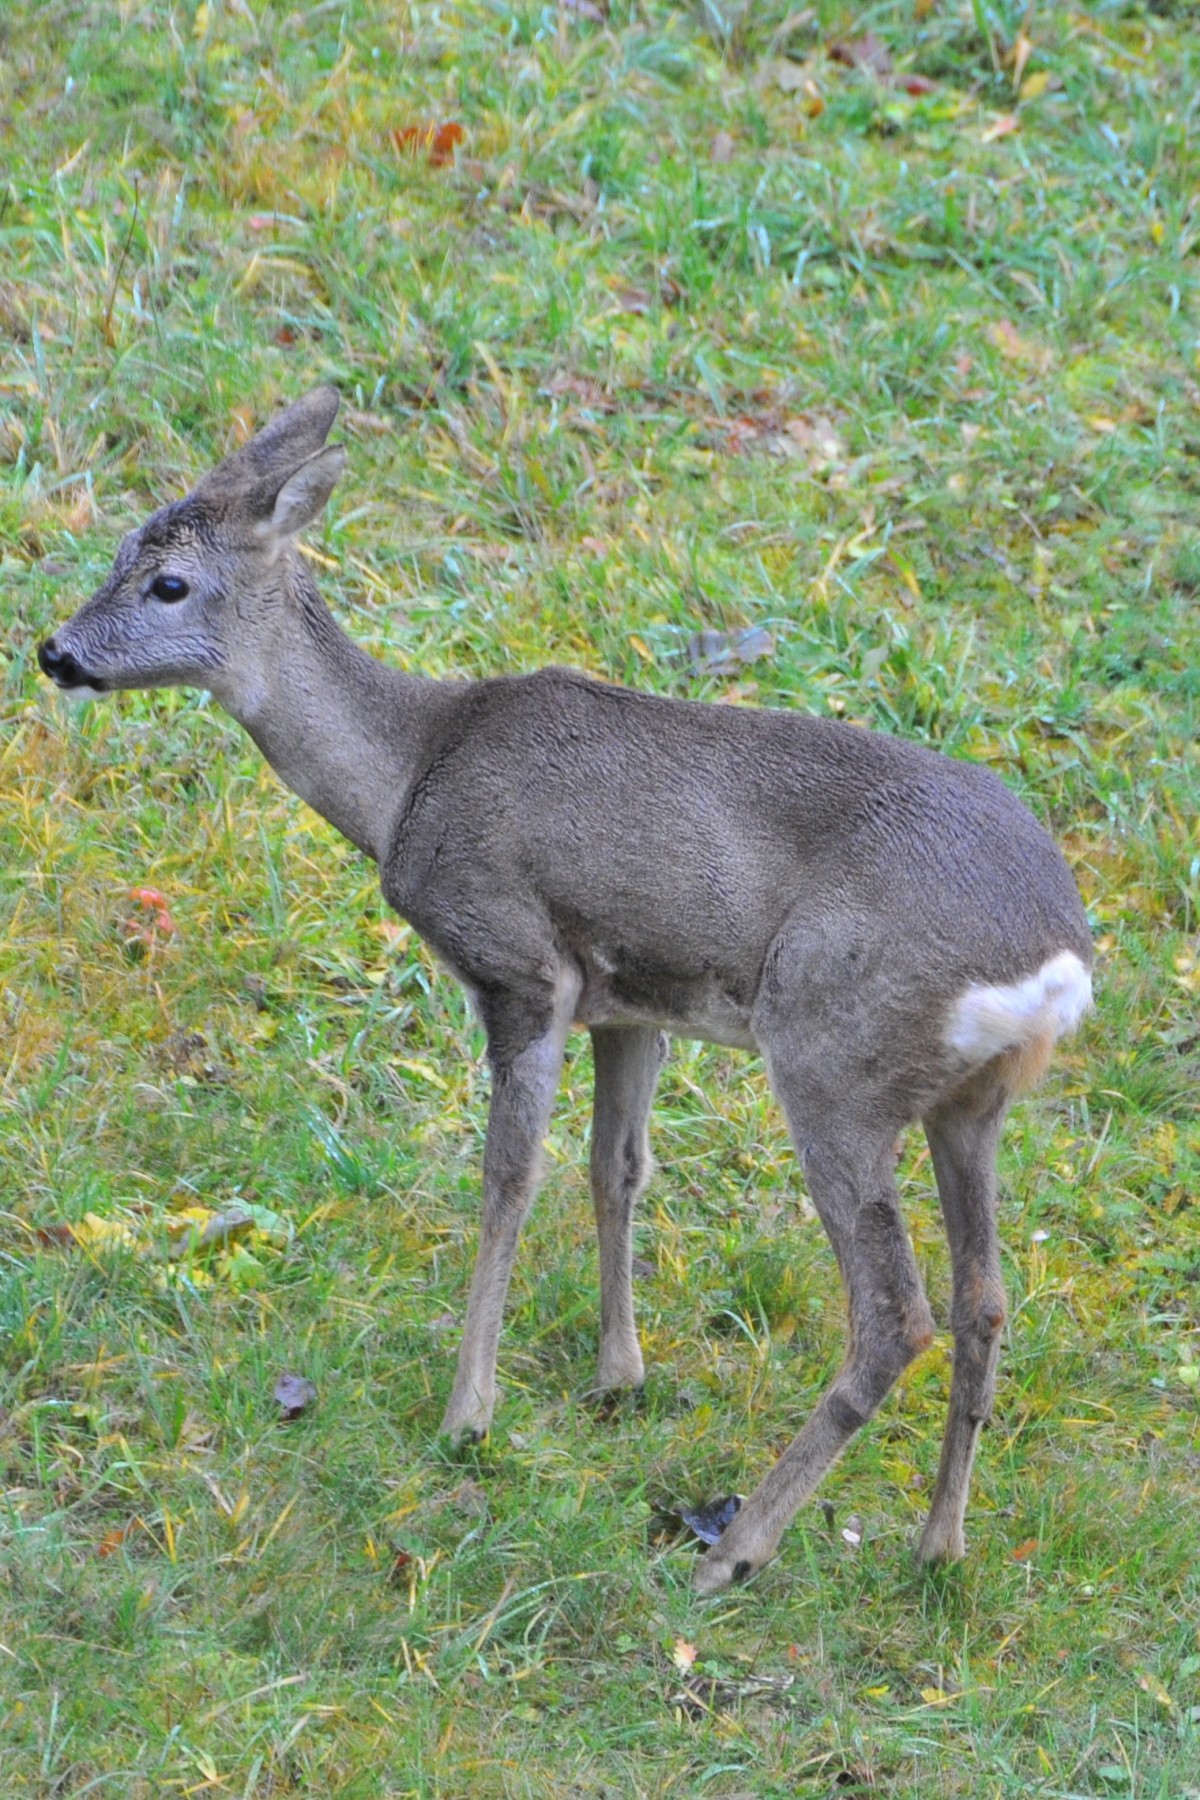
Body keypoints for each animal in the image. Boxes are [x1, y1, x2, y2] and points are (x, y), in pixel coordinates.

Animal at [39, 386, 1093, 1595]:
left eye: (168, 583)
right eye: (121, 549)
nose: (54, 651)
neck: (408, 777)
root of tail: (1055, 960)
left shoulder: (518, 960)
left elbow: (509, 1178)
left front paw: (468, 1413)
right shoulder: (630, 1006)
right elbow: (615, 1169)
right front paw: (617, 1375)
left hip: (834, 1054)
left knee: (895, 1314)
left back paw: (735, 1551)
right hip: (973, 1102)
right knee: (985, 1299)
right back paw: (937, 1545)